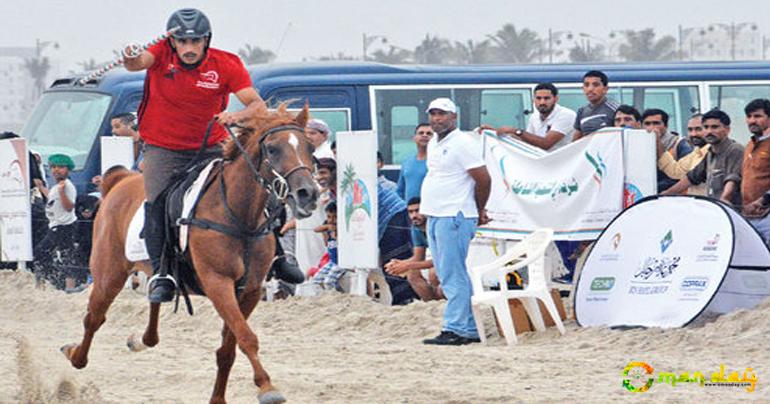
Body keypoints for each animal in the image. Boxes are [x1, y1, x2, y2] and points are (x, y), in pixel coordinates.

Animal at [59, 104, 318, 404]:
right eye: (273, 149)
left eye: (310, 147)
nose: (308, 193)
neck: (238, 215)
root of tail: (120, 179)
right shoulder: (218, 283)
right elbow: (245, 336)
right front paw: (267, 387)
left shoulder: (250, 290)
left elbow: (228, 348)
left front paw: (219, 398)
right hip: (108, 274)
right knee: (94, 317)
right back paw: (74, 355)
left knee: (153, 304)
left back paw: (140, 338)